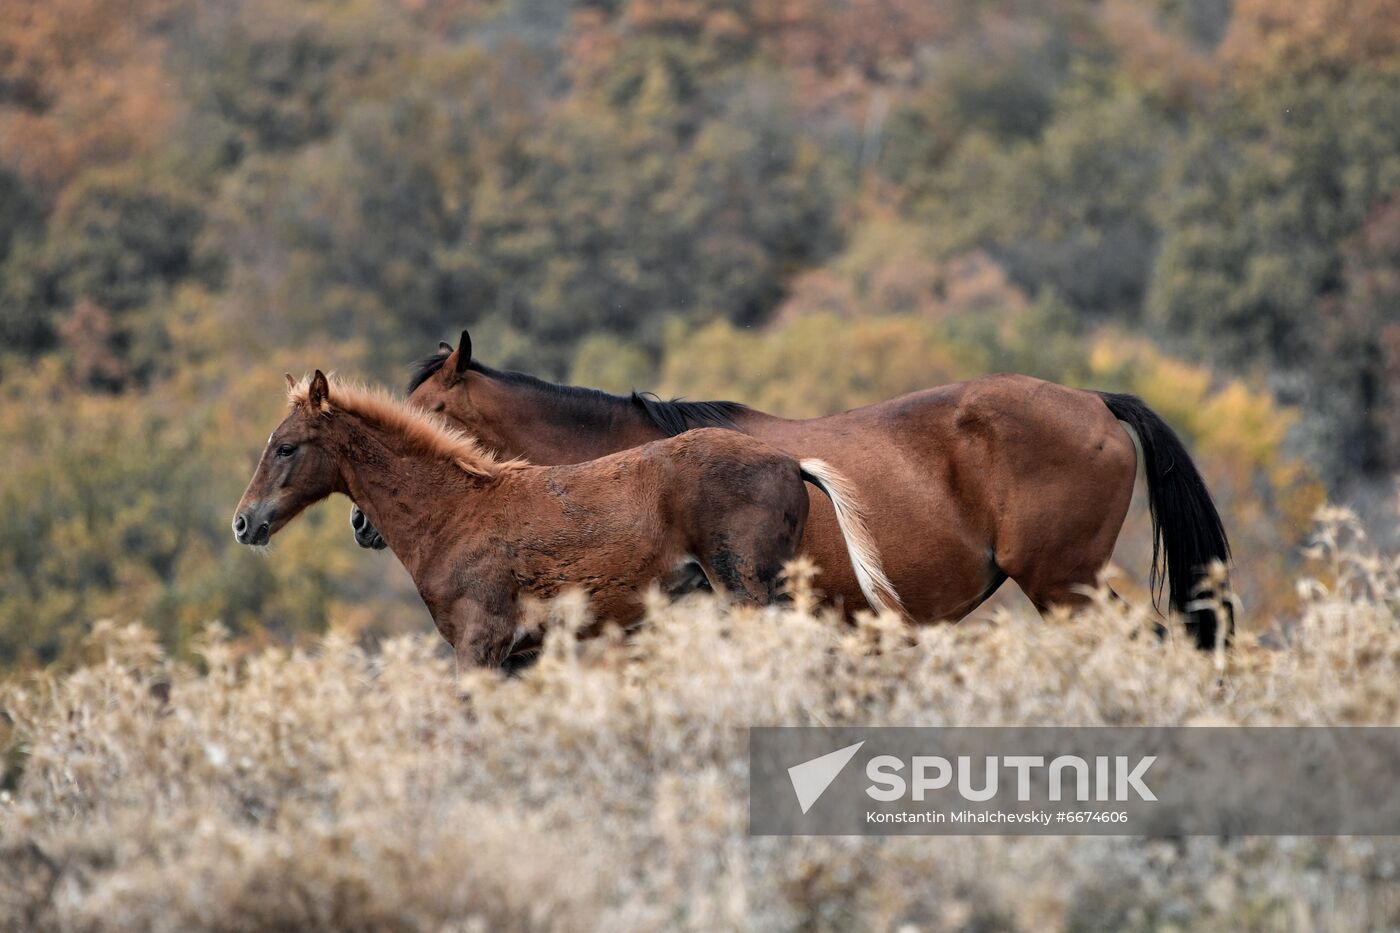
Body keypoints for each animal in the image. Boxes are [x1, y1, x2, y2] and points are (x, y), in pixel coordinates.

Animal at [229, 367, 896, 664]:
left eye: (285, 447)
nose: (243, 522)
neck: (454, 510)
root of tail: (791, 463)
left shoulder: (479, 646)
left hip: (751, 595)